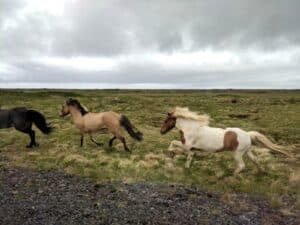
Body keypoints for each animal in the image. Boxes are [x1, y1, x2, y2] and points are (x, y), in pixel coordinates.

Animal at [161, 107, 292, 174]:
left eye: (166, 121)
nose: (161, 131)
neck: (191, 128)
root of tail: (248, 134)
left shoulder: (186, 146)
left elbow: (174, 143)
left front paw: (171, 153)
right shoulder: (191, 148)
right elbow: (189, 156)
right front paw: (186, 166)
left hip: (237, 153)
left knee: (242, 165)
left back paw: (232, 175)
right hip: (247, 151)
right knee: (255, 160)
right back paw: (261, 172)